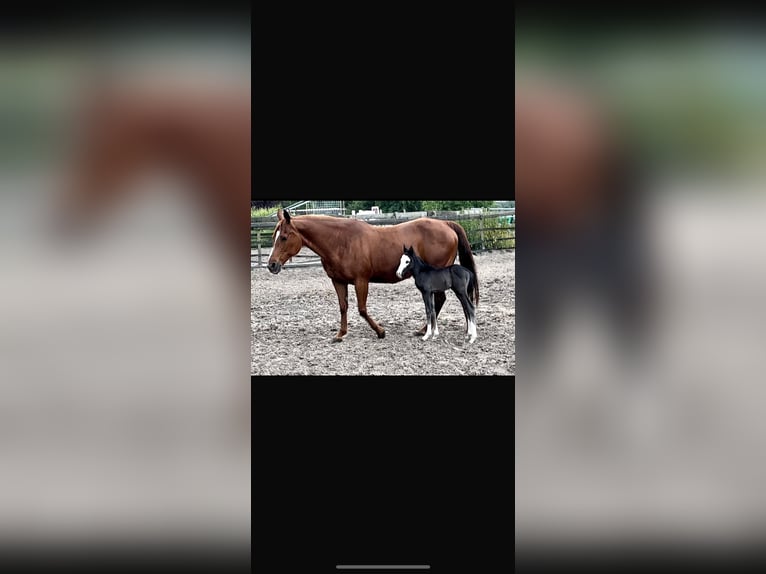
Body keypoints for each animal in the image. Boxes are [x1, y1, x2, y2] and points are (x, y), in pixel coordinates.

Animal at [266, 209, 479, 342]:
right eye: (274, 236)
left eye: (283, 237)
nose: (271, 265)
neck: (340, 241)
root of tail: (446, 224)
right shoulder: (338, 281)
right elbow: (343, 307)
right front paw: (340, 334)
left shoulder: (361, 281)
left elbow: (362, 309)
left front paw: (380, 332)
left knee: (440, 300)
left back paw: (425, 330)